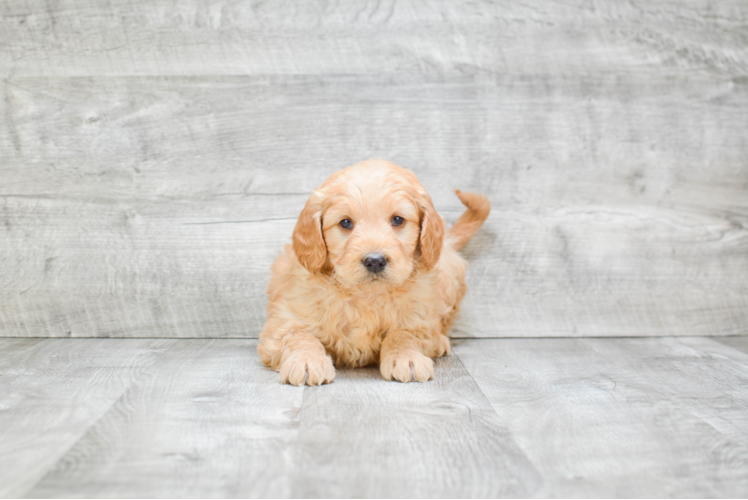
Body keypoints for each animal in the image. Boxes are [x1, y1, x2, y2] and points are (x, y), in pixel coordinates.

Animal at [258, 158, 490, 384]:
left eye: (397, 220)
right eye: (345, 222)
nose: (375, 261)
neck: (366, 296)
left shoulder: (421, 318)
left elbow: (404, 333)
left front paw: (406, 358)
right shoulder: (284, 321)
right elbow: (299, 336)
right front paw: (307, 361)